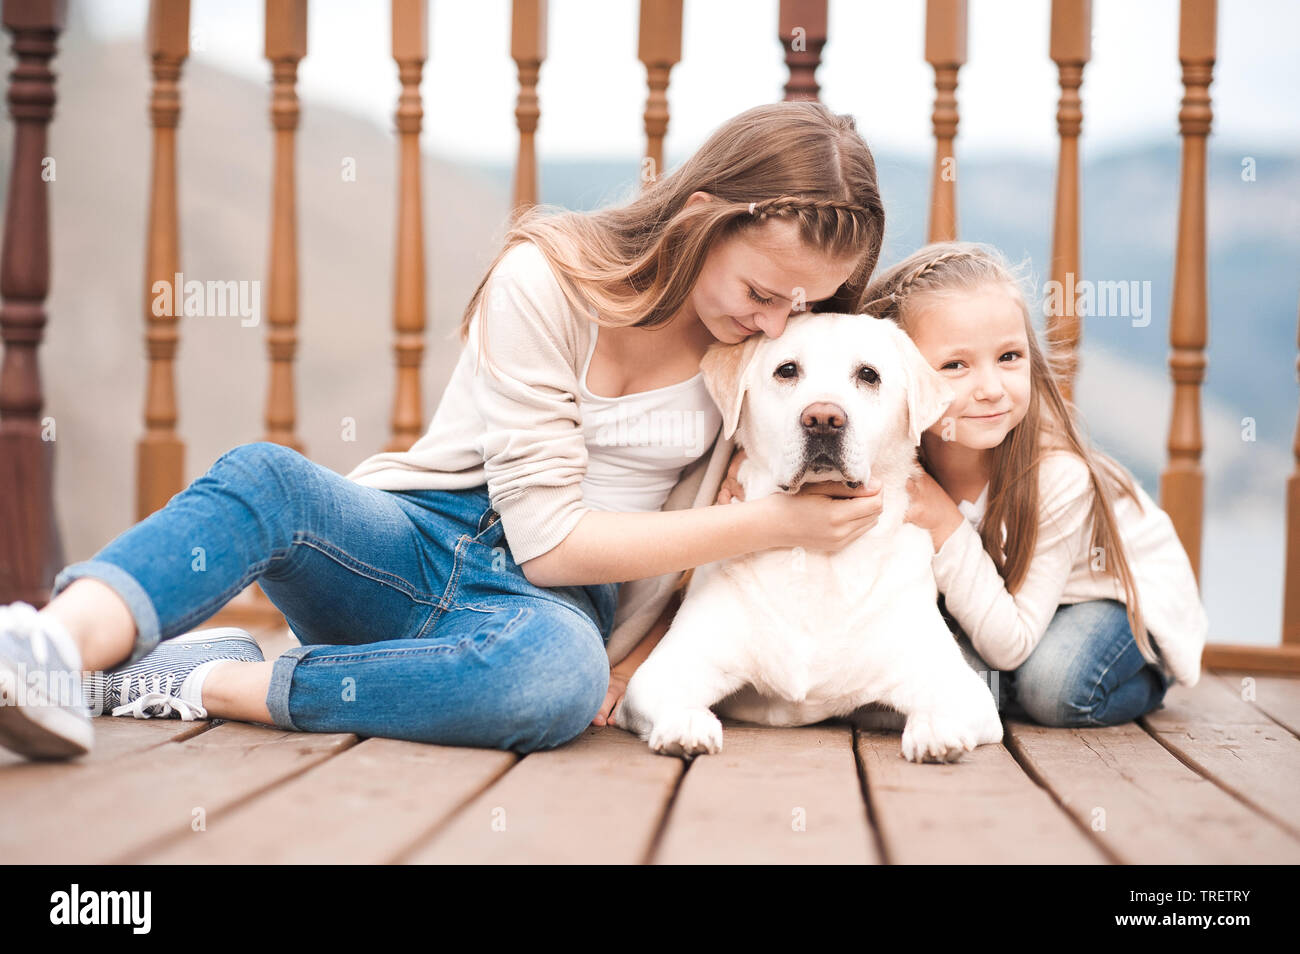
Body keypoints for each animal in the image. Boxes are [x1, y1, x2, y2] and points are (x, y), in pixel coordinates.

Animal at [608, 311, 1003, 764]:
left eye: (868, 375)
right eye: (787, 370)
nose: (823, 419)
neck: (816, 560)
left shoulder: (959, 684)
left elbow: (948, 703)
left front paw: (937, 730)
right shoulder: (666, 668)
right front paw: (685, 723)